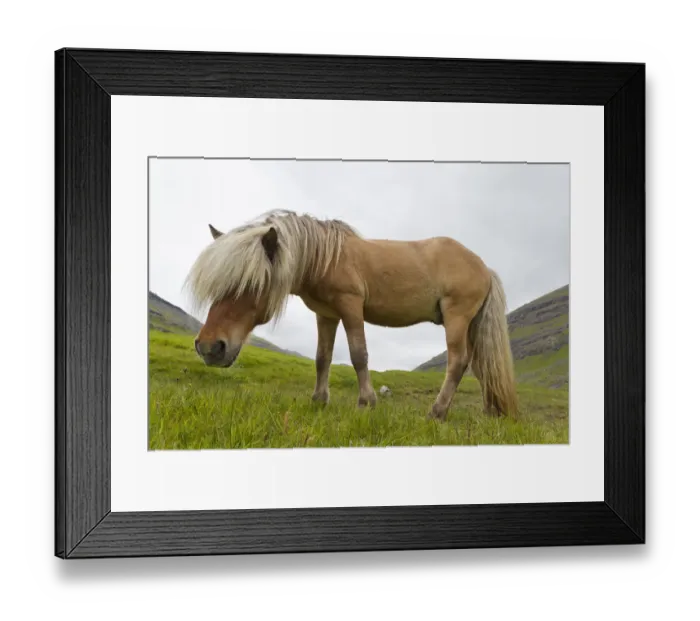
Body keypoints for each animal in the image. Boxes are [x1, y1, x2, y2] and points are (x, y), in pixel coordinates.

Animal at [184, 210, 518, 422]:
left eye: (251, 284)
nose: (209, 348)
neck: (323, 258)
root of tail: (484, 267)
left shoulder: (351, 307)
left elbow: (359, 355)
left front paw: (366, 403)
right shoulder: (326, 315)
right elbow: (322, 358)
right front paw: (319, 401)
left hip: (456, 318)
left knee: (458, 362)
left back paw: (436, 413)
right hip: (470, 324)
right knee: (480, 364)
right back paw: (490, 411)